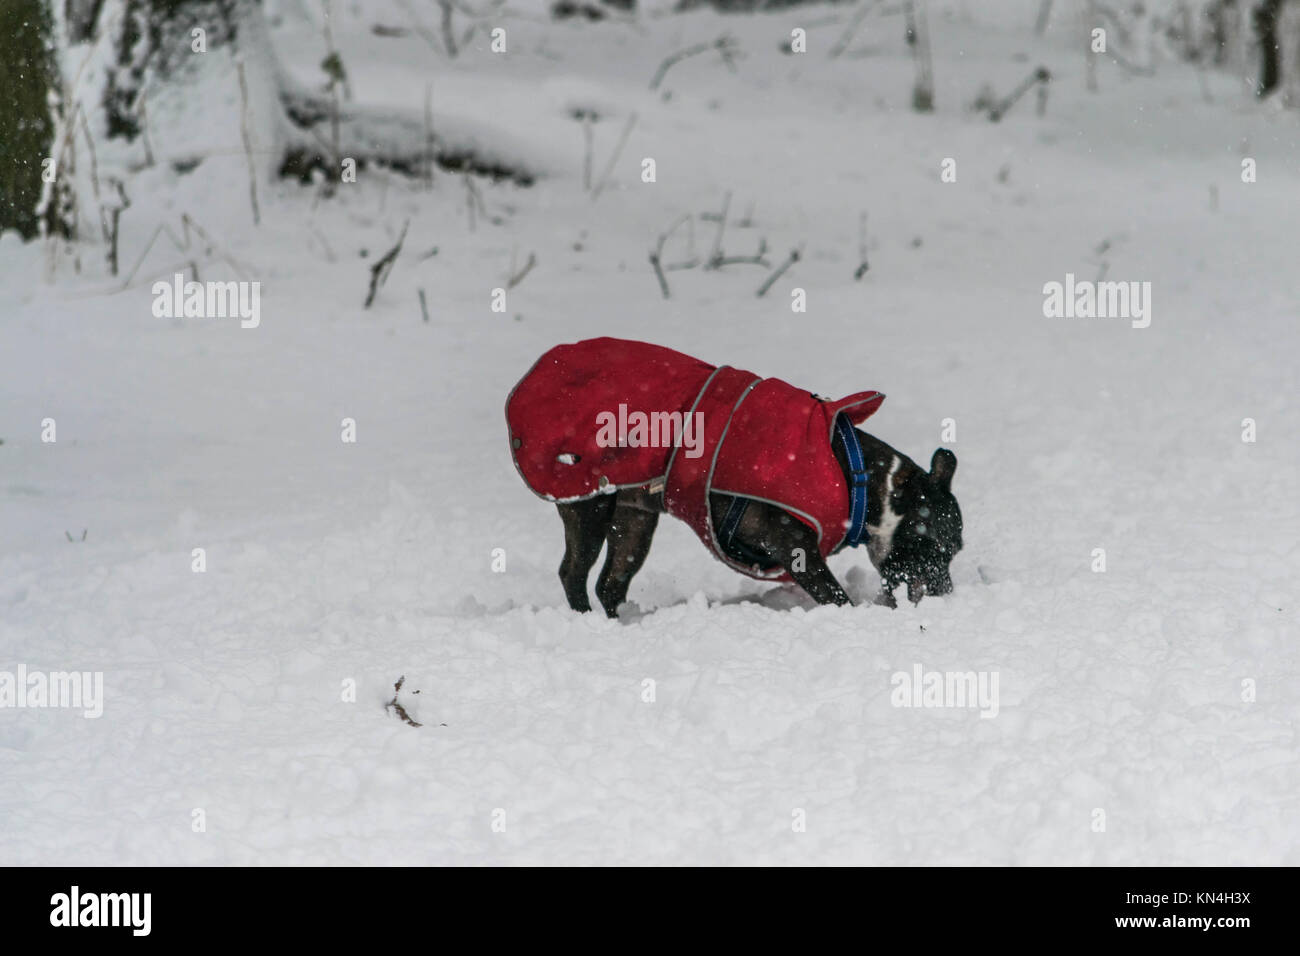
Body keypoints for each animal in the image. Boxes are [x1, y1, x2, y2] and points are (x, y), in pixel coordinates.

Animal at [501, 340, 961, 616]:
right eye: (937, 545)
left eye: (956, 550)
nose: (947, 593)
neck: (862, 480)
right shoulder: (798, 550)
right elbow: (836, 597)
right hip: (587, 502)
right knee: (574, 574)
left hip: (634, 519)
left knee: (610, 583)